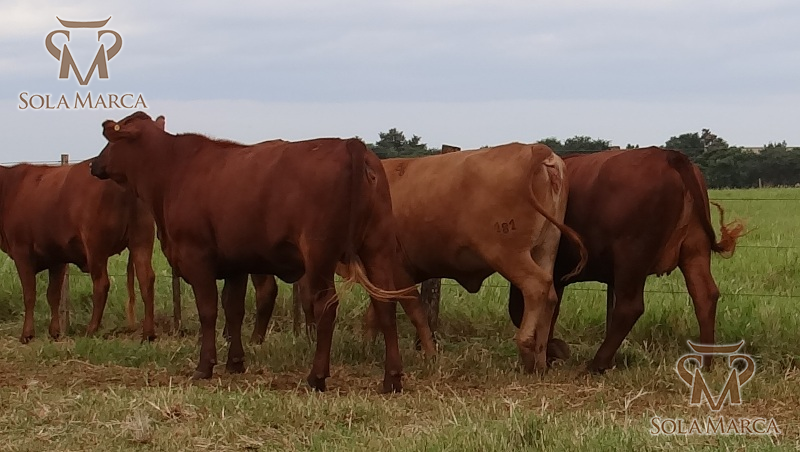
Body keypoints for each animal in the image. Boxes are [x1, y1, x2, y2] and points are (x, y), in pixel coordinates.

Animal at [0, 160, 156, 343]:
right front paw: (55, 332)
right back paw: (148, 333)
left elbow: (29, 294)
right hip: (141, 242)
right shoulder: (57, 258)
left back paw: (91, 329)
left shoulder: (22, 251)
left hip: (95, 247)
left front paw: (27, 334)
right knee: (146, 279)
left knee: (101, 284)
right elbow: (53, 295)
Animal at [89, 111, 419, 393]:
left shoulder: (198, 259)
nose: (94, 164)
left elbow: (209, 311)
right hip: (377, 248)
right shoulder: (236, 265)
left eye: (111, 138)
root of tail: (350, 144)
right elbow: (234, 310)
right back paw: (392, 379)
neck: (173, 170)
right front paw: (235, 362)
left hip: (319, 256)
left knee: (326, 306)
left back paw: (317, 376)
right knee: (385, 304)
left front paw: (204, 366)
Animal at [249, 143, 588, 373]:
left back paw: (527, 349)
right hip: (545, 250)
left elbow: (414, 310)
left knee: (537, 288)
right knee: (550, 294)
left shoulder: (398, 269)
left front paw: (429, 352)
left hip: (508, 254)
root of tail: (535, 150)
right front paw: (368, 346)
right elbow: (376, 311)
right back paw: (541, 355)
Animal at [508, 147, 745, 372]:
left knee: (629, 307)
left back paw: (596, 364)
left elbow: (527, 310)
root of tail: (669, 156)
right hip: (695, 248)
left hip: (632, 253)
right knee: (704, 295)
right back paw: (705, 363)